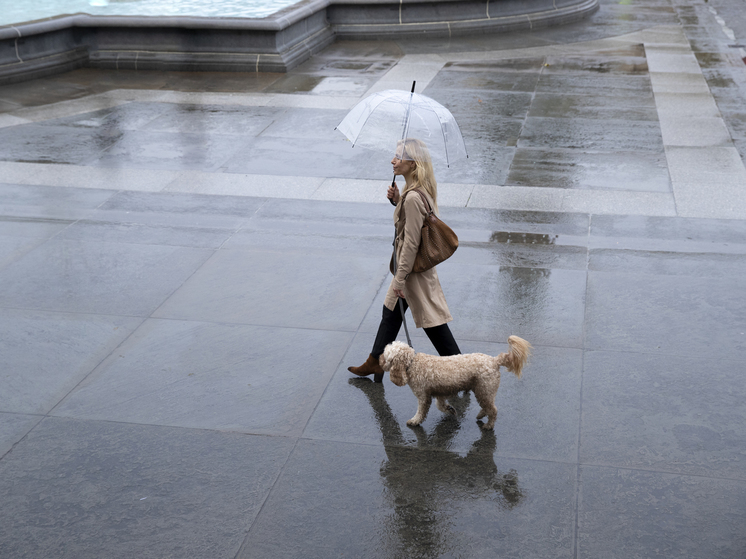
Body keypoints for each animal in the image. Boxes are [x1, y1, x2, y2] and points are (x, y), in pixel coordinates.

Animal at [378, 334, 528, 430]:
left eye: (385, 356)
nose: (379, 359)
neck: (412, 363)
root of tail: (494, 360)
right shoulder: (439, 392)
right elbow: (440, 405)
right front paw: (449, 410)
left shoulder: (423, 396)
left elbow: (421, 412)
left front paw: (415, 421)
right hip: (483, 390)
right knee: (488, 407)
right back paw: (481, 415)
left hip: (484, 389)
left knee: (493, 410)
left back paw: (488, 426)